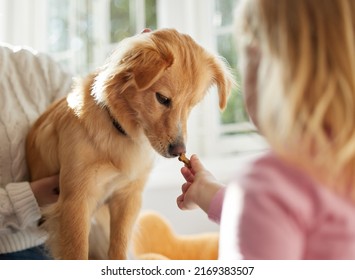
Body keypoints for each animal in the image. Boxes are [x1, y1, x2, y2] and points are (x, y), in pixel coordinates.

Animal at [26, 29, 235, 260]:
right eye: (162, 99)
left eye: (192, 105)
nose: (179, 151)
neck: (120, 131)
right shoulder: (75, 203)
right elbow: (77, 252)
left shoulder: (127, 198)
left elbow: (118, 248)